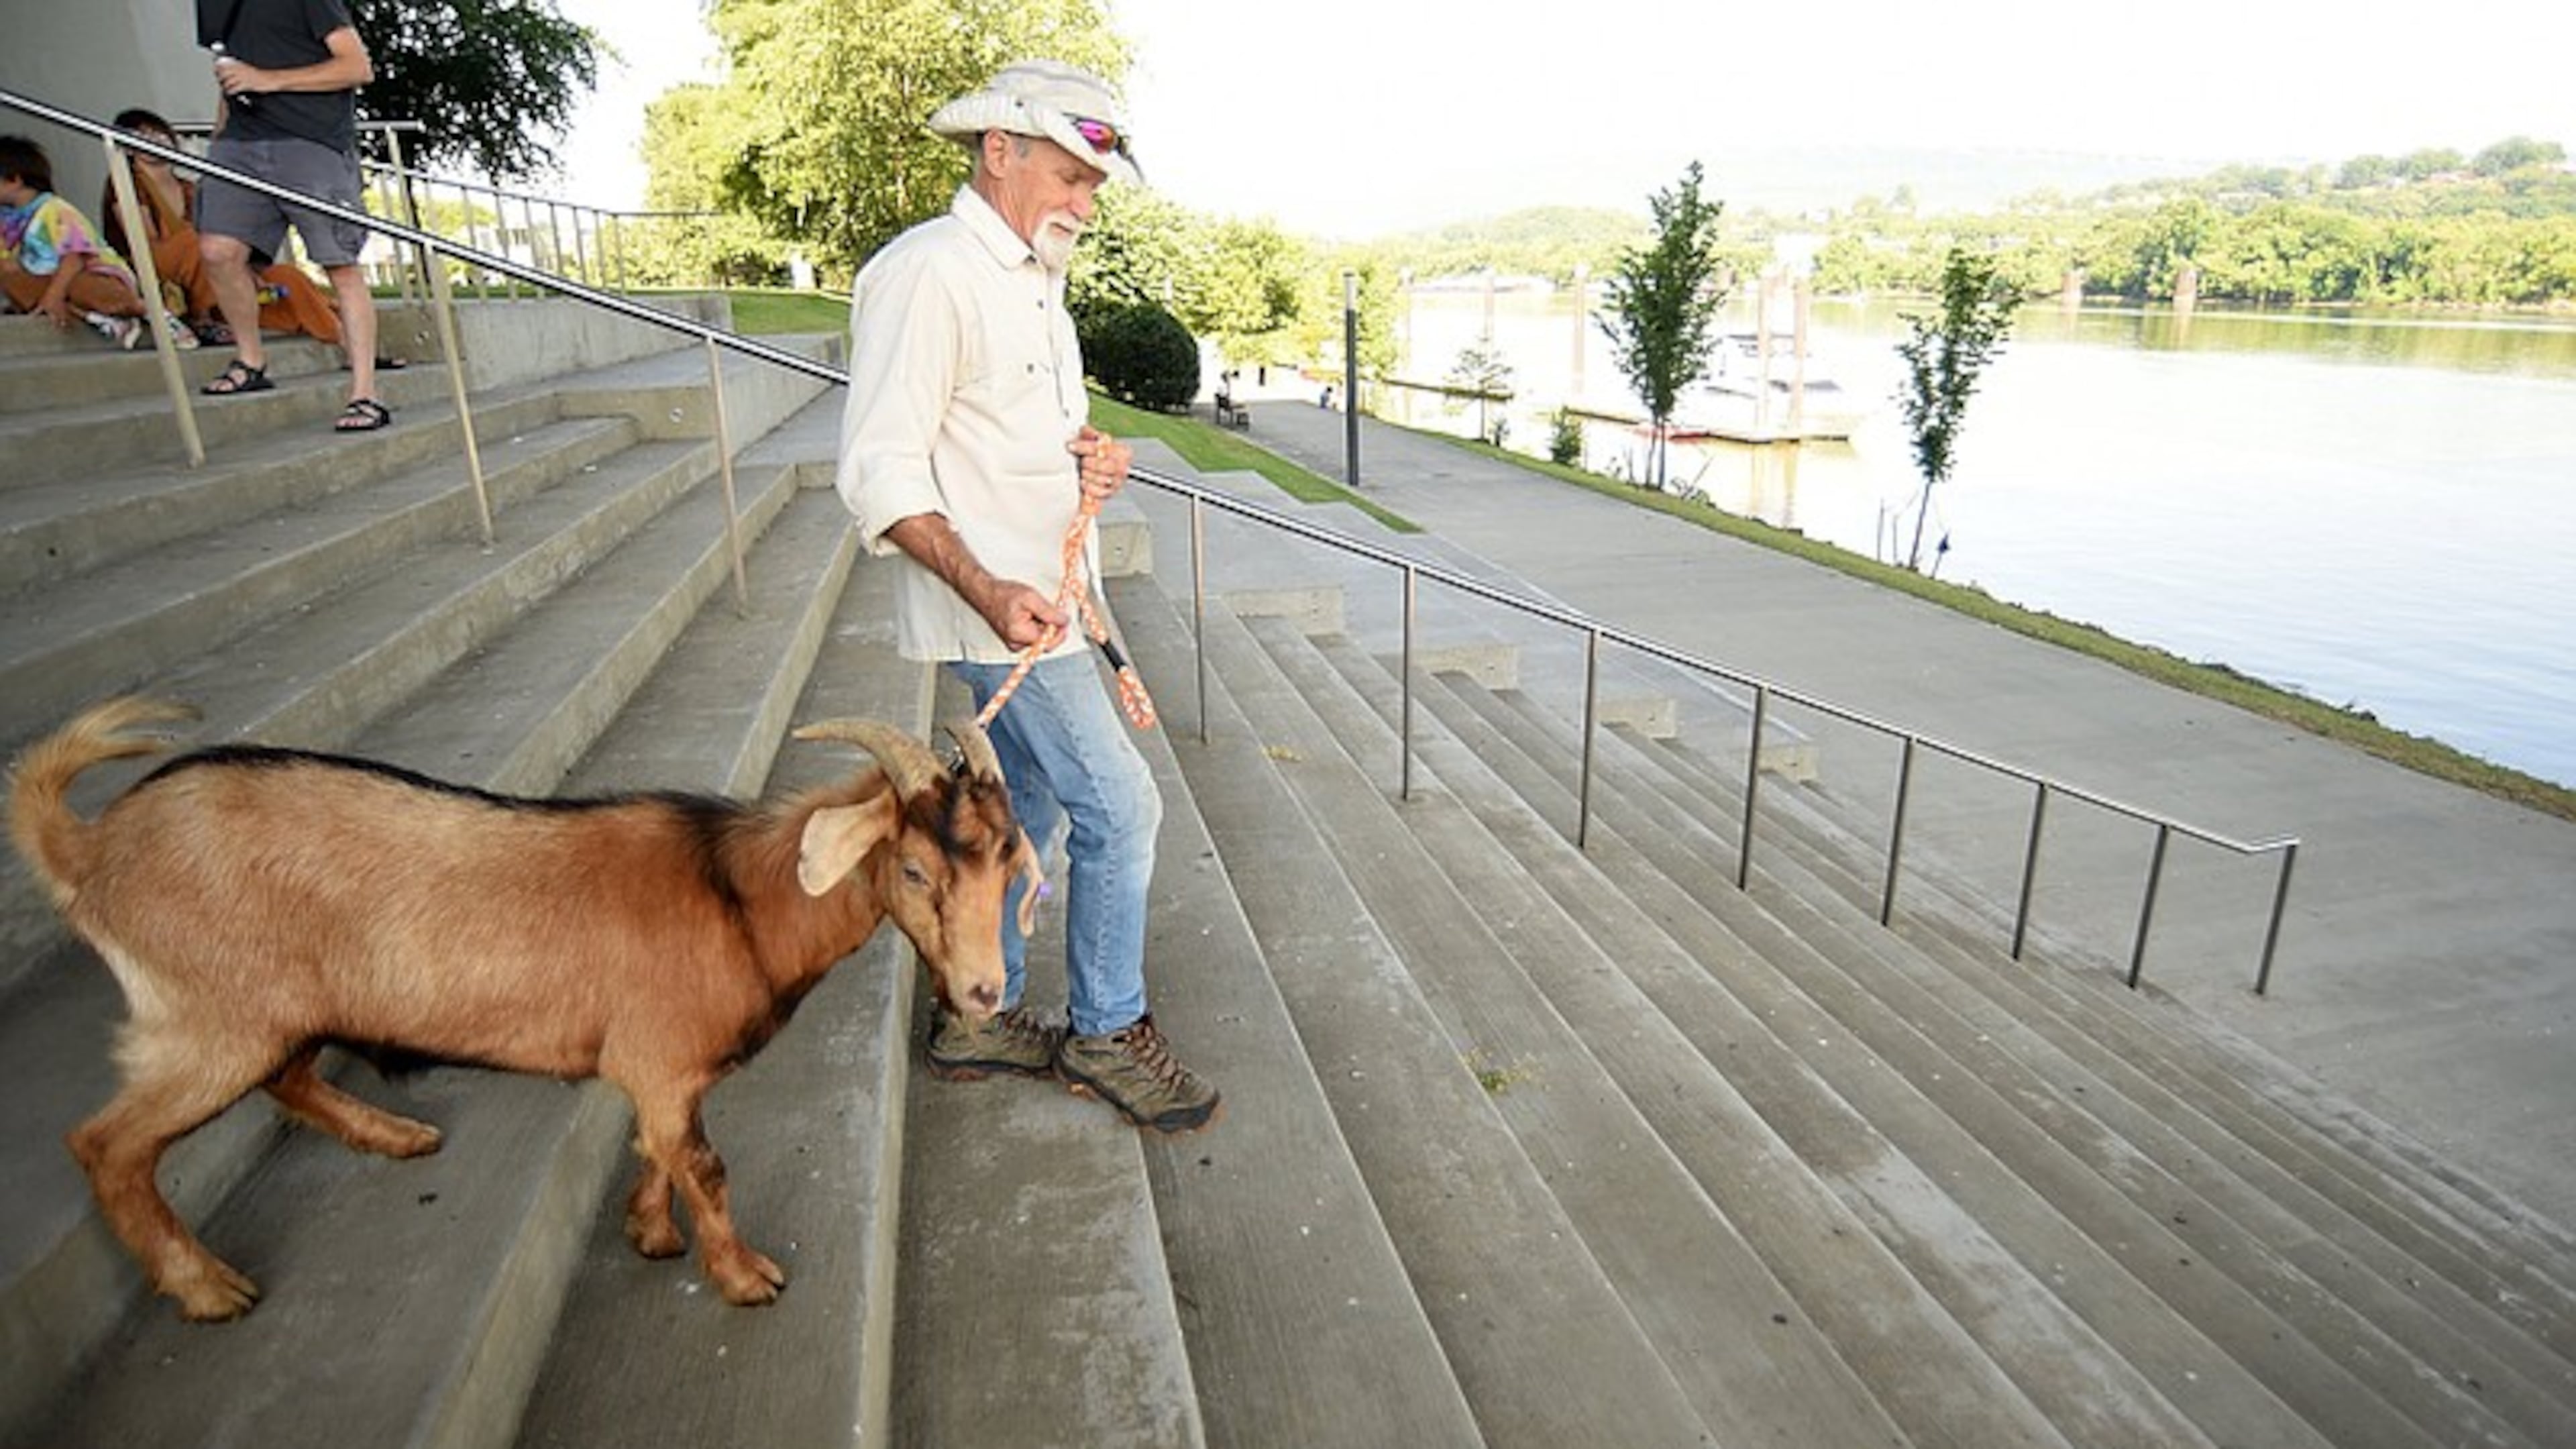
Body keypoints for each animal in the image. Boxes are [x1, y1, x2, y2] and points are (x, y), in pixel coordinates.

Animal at [7, 696, 1032, 1321]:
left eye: (1009, 861)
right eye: (913, 870)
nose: (986, 991)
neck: (736, 896)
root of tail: (90, 849)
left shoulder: (648, 1068)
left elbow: (654, 1147)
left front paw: (649, 1232)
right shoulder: (664, 1062)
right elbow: (703, 1163)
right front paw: (745, 1278)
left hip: (269, 1008)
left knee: (289, 1075)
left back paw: (395, 1135)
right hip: (207, 1020)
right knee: (107, 1146)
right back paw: (209, 1289)